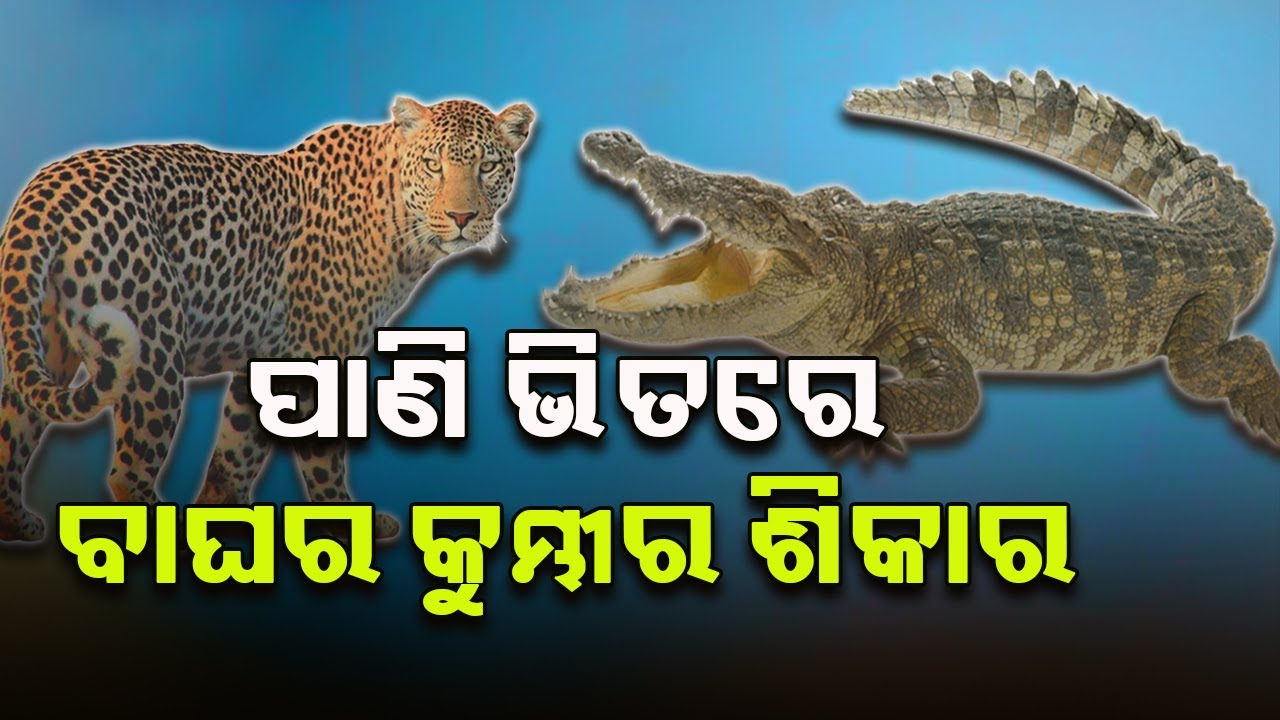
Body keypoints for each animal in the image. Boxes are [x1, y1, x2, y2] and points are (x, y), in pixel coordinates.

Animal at [0, 96, 535, 542]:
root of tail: (45, 188)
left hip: (43, 336)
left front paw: (223, 513)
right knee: (128, 470)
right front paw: (345, 521)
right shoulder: (321, 352)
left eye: (487, 167)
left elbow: (237, 446)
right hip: (154, 349)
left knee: (14, 426)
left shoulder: (264, 357)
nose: (463, 218)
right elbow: (322, 451)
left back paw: (18, 524)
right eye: (433, 165)